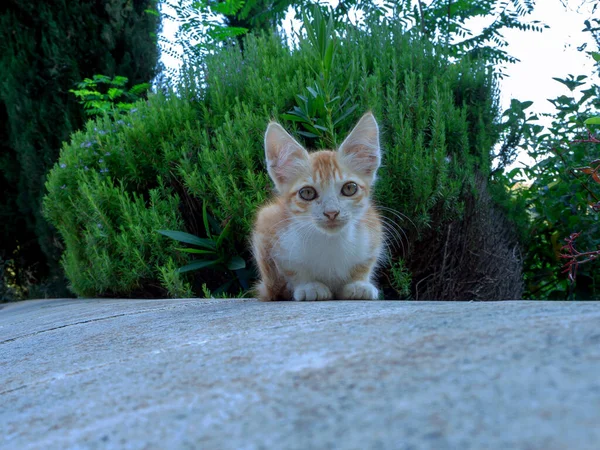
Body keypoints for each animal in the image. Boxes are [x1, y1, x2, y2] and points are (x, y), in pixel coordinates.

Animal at [252, 112, 384, 302]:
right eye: (307, 193)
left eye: (349, 188)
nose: (332, 212)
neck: (330, 241)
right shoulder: (269, 225)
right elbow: (291, 269)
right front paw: (309, 286)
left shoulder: (373, 230)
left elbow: (365, 264)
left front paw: (358, 284)